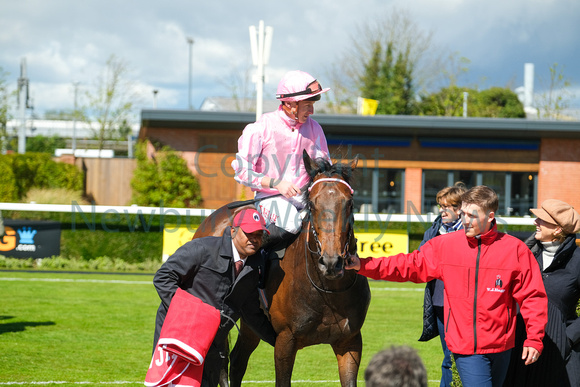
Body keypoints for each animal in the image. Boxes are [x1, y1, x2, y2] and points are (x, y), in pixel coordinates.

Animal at [193, 152, 370, 387]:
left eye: (349, 203)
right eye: (312, 204)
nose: (331, 262)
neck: (327, 291)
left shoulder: (350, 341)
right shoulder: (285, 340)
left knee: (237, 360)